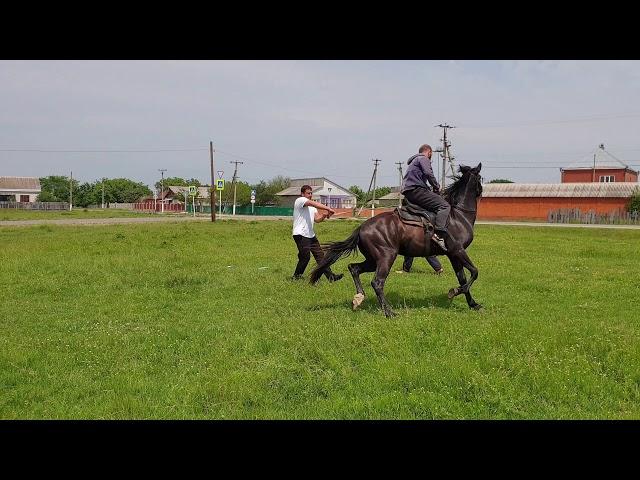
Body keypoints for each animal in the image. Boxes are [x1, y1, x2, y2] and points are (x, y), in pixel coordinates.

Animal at [312, 163, 484, 316]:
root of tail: (361, 228)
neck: (458, 215)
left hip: (373, 260)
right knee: (377, 282)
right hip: (386, 257)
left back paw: (359, 298)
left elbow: (463, 278)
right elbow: (474, 272)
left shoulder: (453, 254)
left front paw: (473, 304)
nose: (481, 192)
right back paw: (389, 312)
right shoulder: (458, 250)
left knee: (354, 268)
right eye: (480, 178)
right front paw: (454, 292)